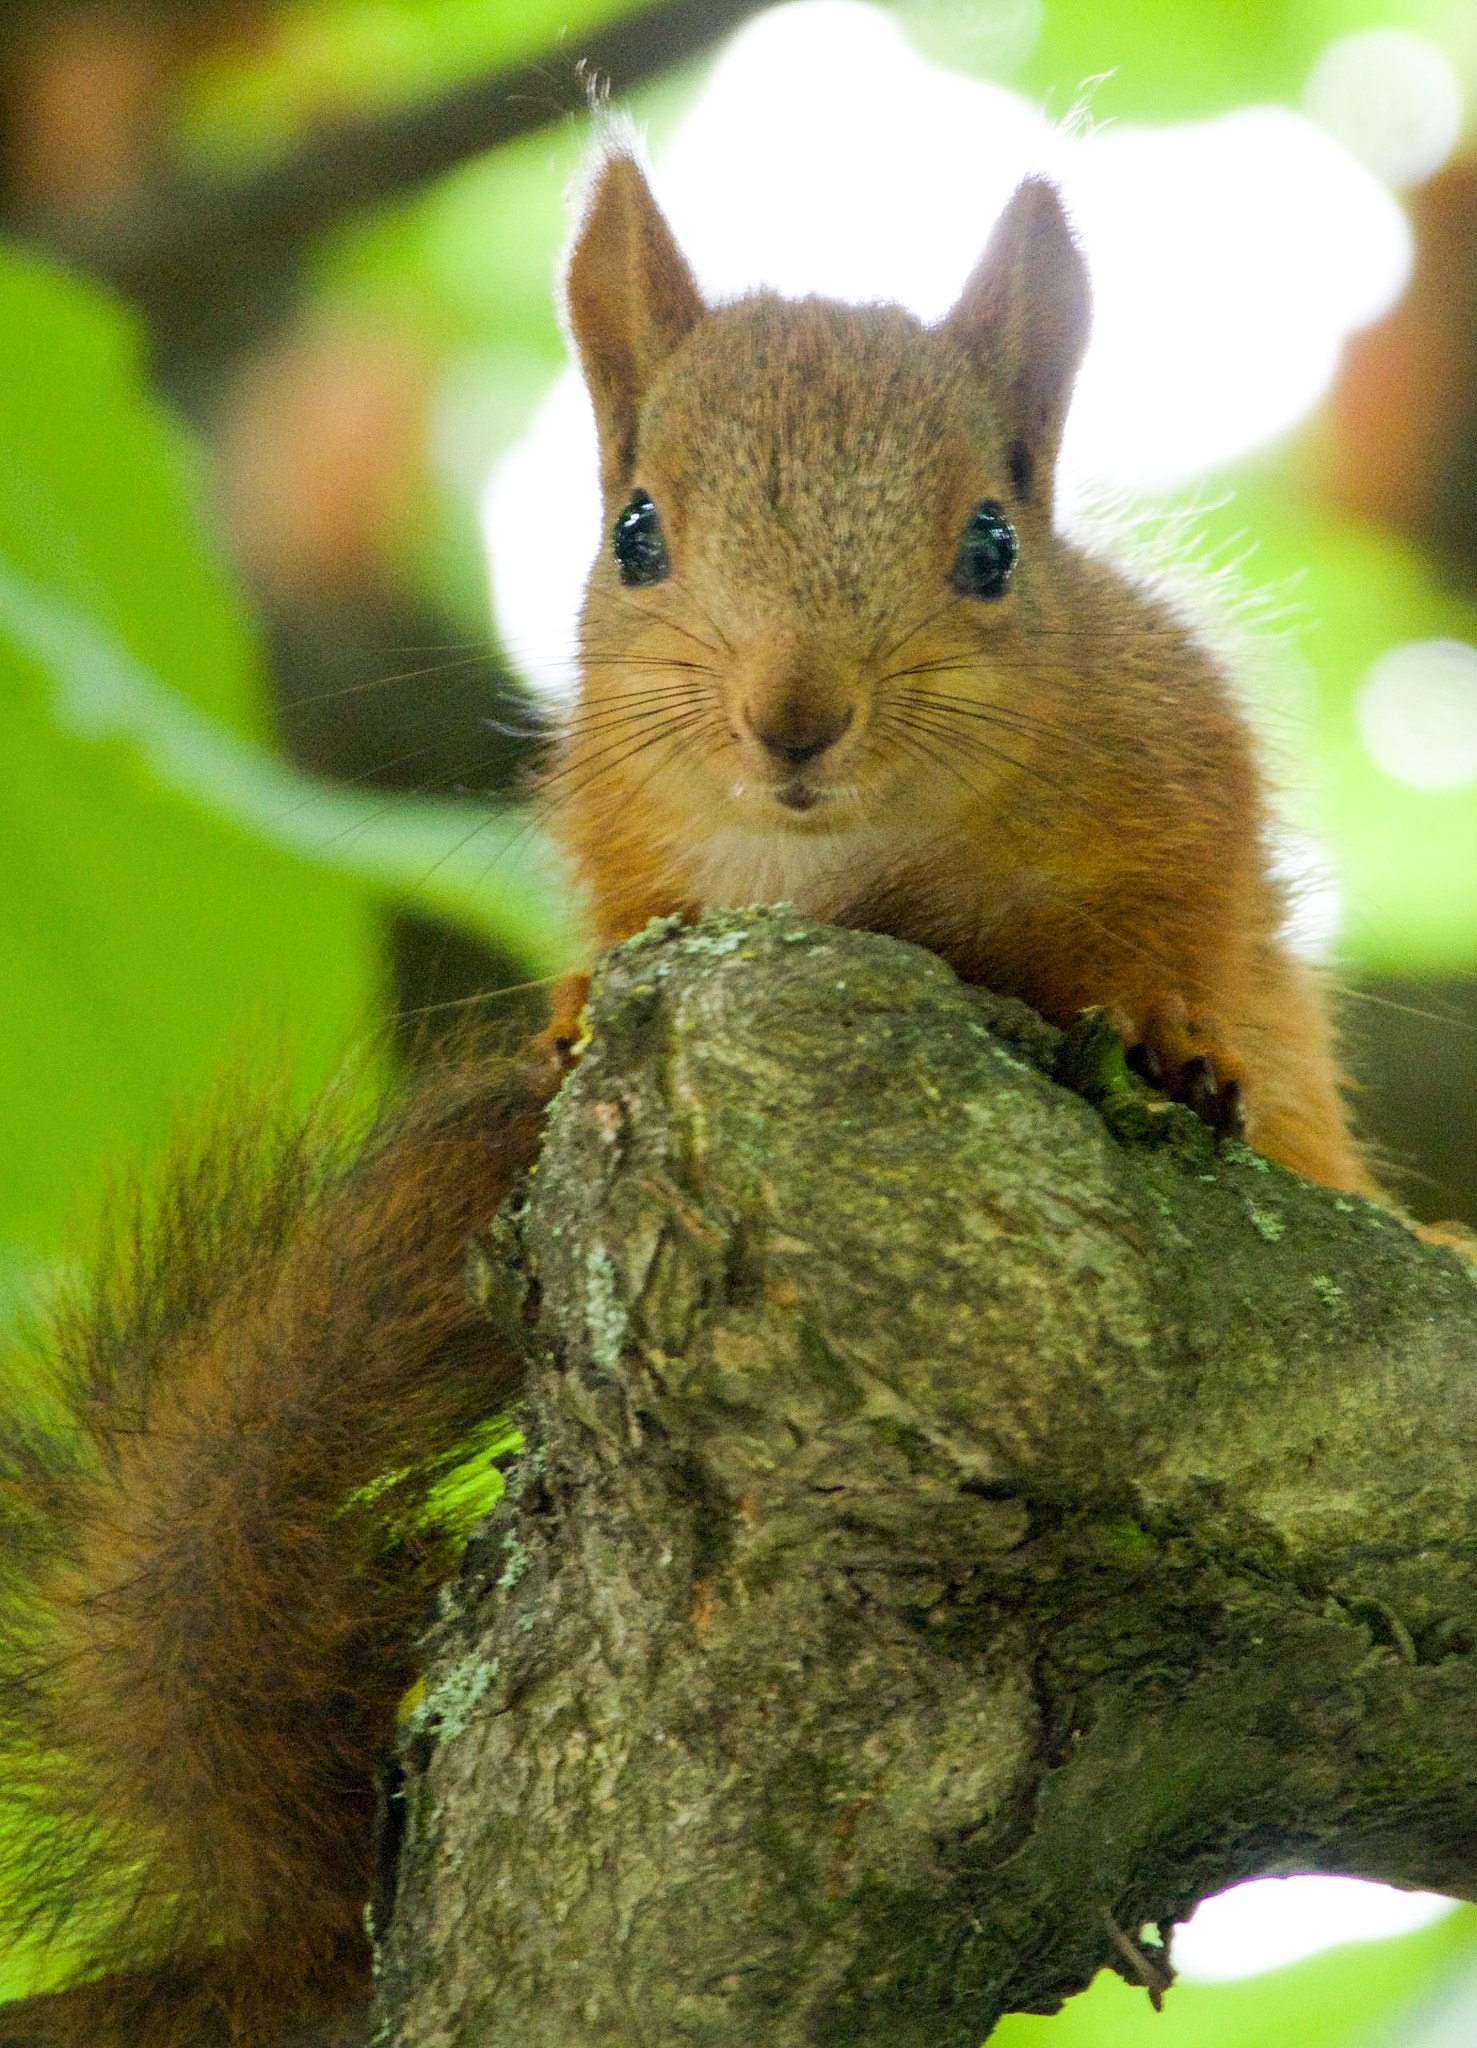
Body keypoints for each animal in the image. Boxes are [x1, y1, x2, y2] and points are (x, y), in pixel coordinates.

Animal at [2, 148, 1368, 2048]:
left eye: (993, 546)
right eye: (633, 533)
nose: (793, 717)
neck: (849, 872)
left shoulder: (1179, 775)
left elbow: (1187, 929)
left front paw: (1172, 1028)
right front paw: (575, 1016)